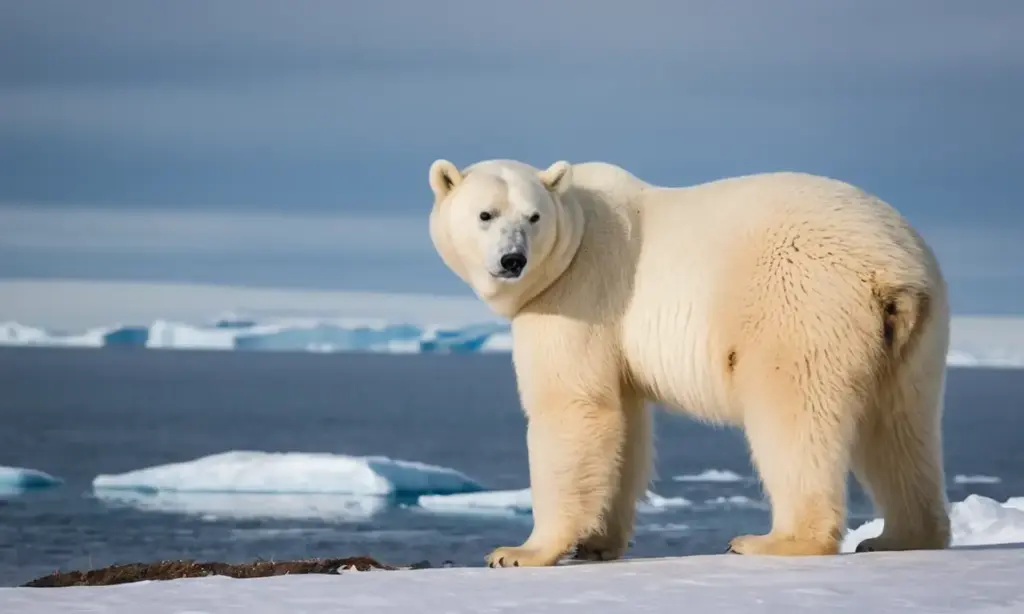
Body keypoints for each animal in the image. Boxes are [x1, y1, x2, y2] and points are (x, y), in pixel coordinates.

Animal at [426, 157, 952, 568]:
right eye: (486, 214)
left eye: (533, 216)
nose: (513, 260)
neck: (576, 232)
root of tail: (892, 269)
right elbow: (625, 425)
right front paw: (598, 542)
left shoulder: (577, 293)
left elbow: (572, 406)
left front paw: (521, 551)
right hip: (916, 334)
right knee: (899, 426)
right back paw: (900, 536)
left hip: (801, 304)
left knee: (791, 415)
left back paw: (771, 541)